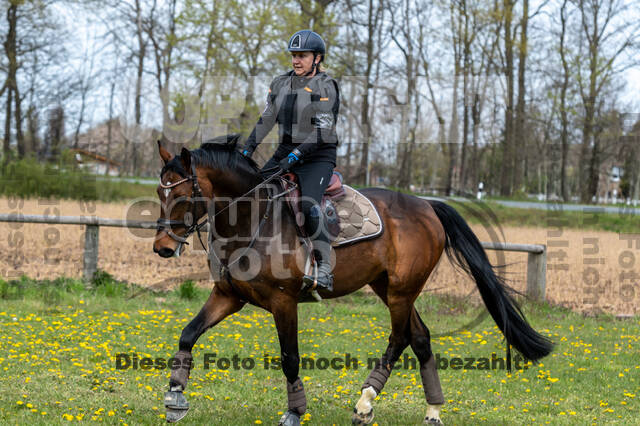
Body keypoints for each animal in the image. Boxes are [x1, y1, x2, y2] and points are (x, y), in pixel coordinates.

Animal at [152, 135, 552, 424]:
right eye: (159, 192)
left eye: (183, 195)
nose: (162, 248)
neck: (253, 220)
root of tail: (426, 205)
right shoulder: (228, 296)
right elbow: (188, 334)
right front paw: (175, 397)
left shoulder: (283, 302)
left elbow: (290, 358)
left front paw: (294, 412)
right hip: (387, 286)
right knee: (420, 337)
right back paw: (431, 411)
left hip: (401, 291)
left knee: (401, 337)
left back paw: (366, 402)